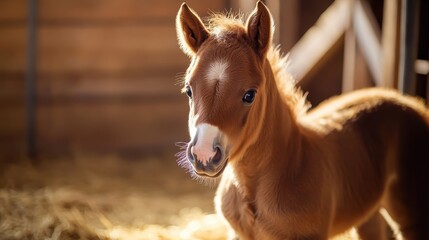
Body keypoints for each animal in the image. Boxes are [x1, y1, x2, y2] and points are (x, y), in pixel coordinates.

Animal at [175, 1, 428, 238]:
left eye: (249, 95)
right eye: (188, 90)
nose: (204, 155)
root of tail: (411, 103)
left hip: (411, 218)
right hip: (368, 215)